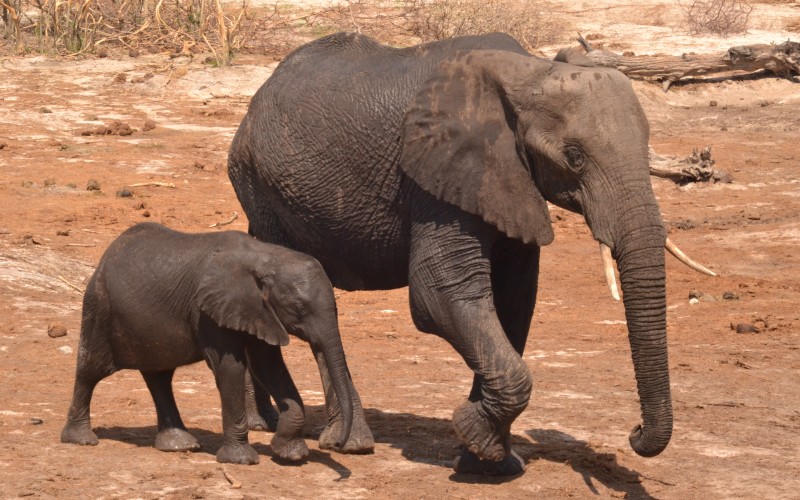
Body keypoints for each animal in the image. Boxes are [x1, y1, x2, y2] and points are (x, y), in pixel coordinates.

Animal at [59, 223, 354, 464]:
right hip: (99, 305)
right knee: (90, 369)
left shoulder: (260, 313)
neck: (266, 256)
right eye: (298, 308)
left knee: (159, 377)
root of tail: (107, 254)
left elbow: (268, 367)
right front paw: (241, 460)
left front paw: (291, 455)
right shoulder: (209, 312)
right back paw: (81, 439)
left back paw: (179, 446)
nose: (337, 444)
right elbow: (231, 368)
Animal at [230, 32, 712, 476]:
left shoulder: (512, 184)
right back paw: (342, 442)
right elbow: (439, 296)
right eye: (574, 157)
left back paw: (266, 423)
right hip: (262, 187)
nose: (634, 433)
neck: (529, 72)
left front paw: (488, 460)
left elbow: (512, 304)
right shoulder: (437, 179)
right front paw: (472, 435)